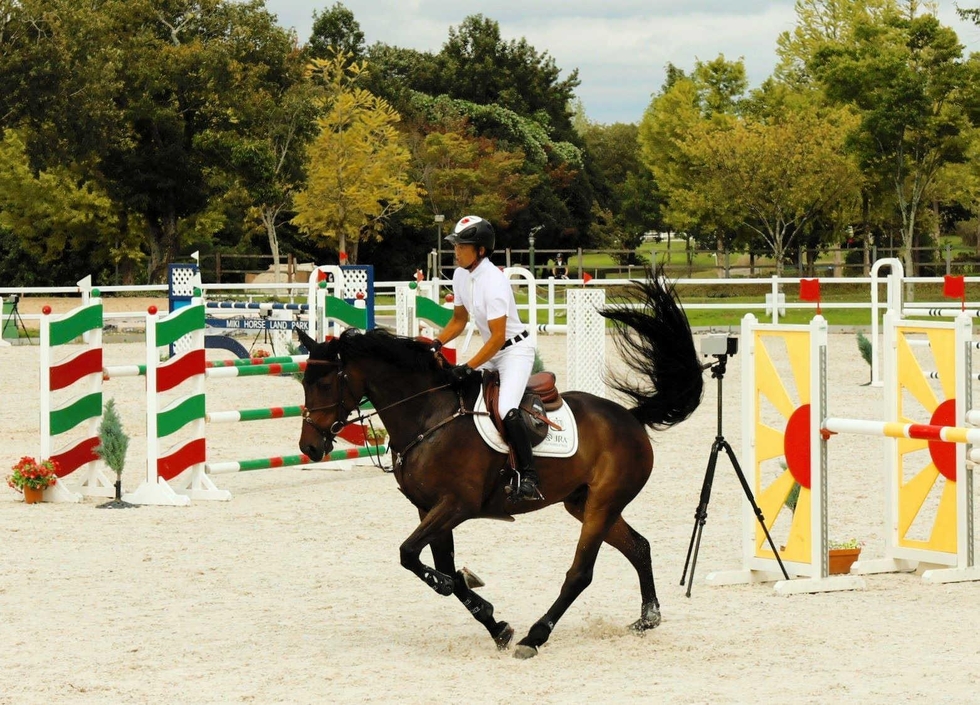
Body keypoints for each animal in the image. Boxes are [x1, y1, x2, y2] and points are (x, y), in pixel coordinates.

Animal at [296, 268, 704, 659]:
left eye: (325, 384)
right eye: (304, 382)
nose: (310, 447)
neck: (429, 415)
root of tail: (631, 418)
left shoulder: (456, 505)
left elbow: (411, 555)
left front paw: (463, 589)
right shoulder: (428, 508)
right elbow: (436, 564)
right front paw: (492, 621)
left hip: (603, 503)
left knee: (581, 573)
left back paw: (535, 637)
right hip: (584, 502)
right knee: (638, 547)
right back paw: (647, 618)